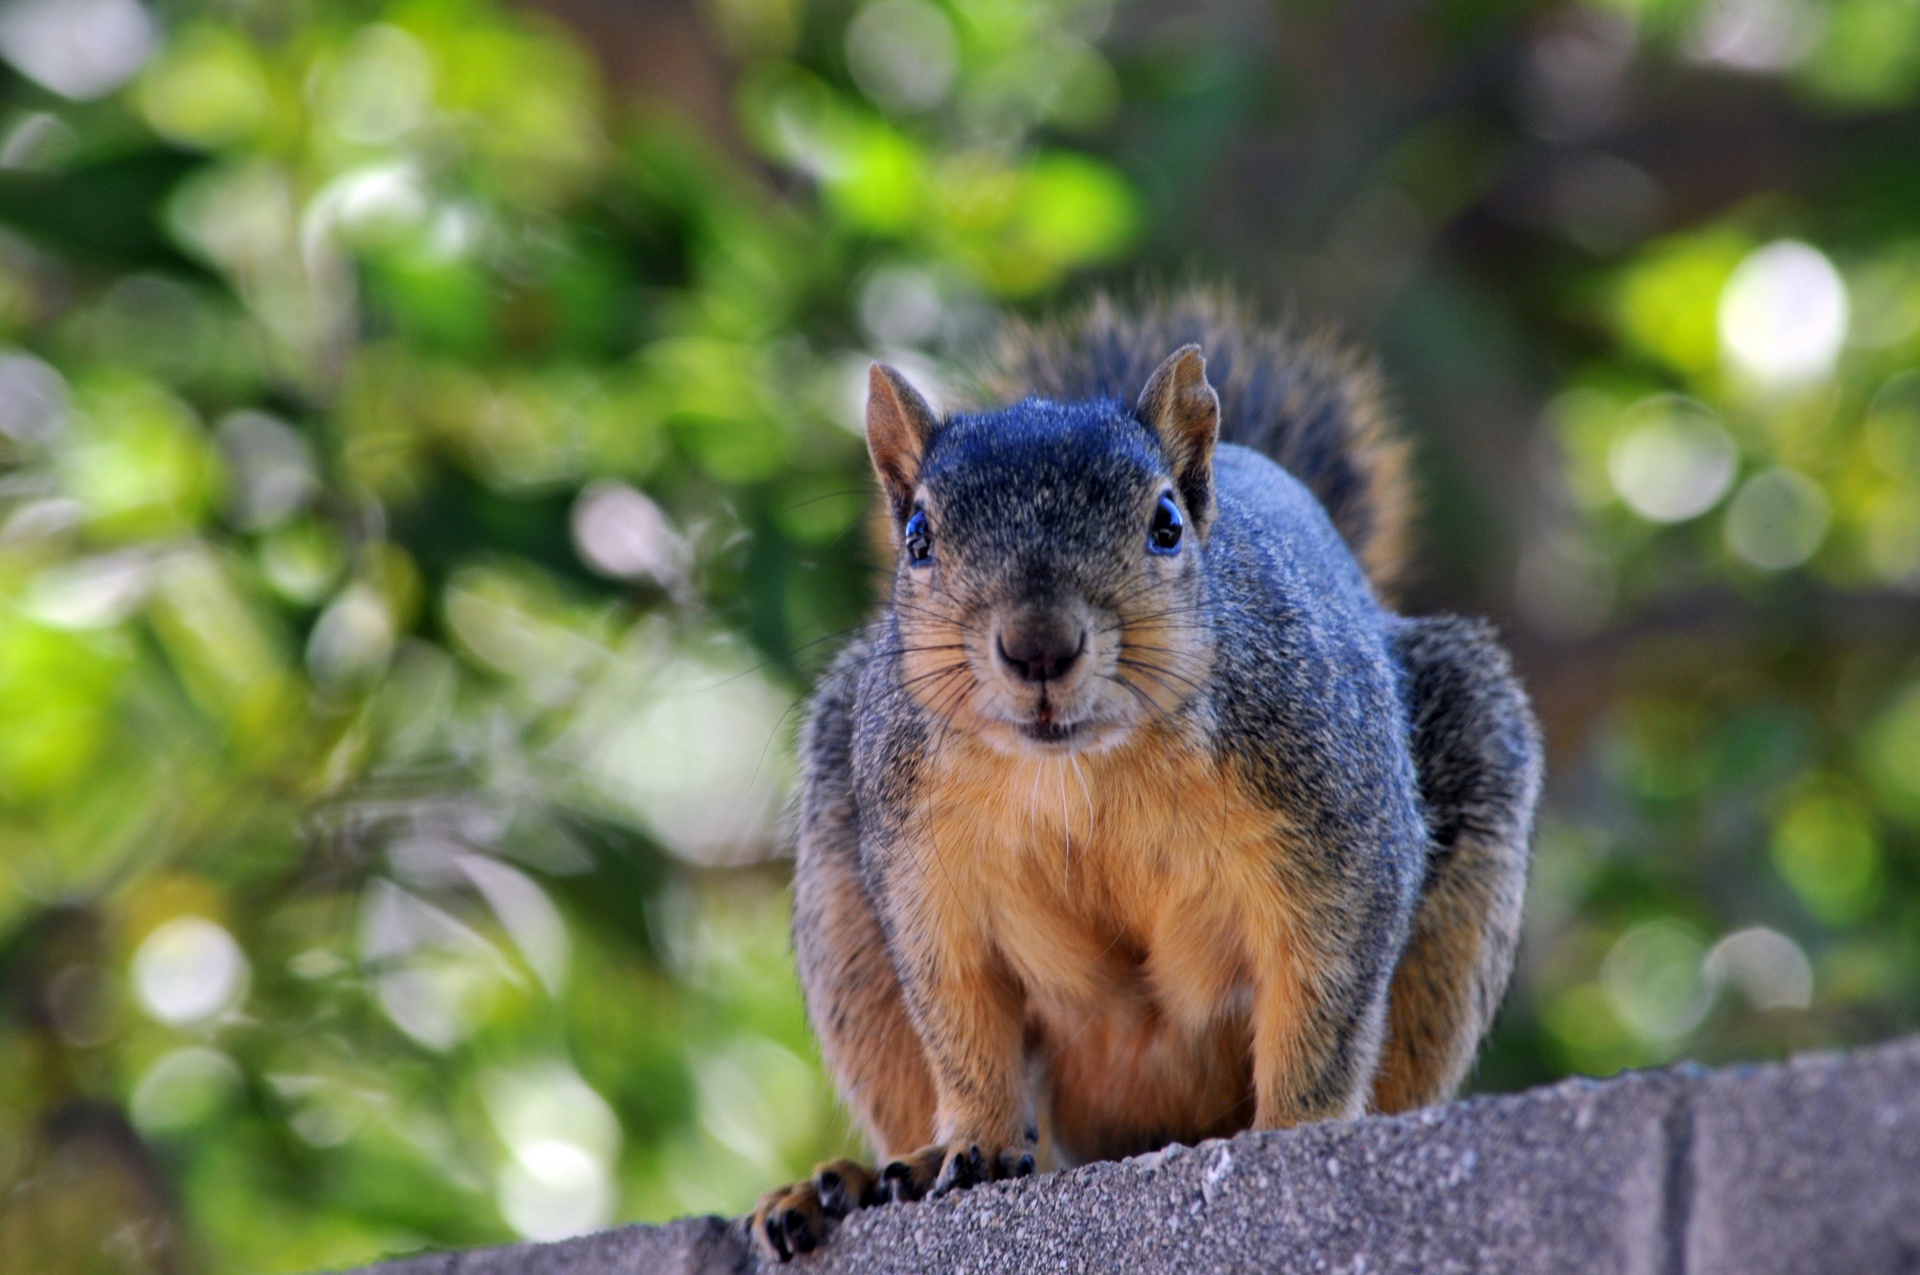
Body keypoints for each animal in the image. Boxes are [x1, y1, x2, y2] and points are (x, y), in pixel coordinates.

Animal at [748, 291, 1543, 1267]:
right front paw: (974, 1141)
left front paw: (1298, 1129)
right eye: (917, 538)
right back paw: (865, 1176)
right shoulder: (921, 866)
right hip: (844, 893)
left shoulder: (1339, 830)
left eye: (1165, 524)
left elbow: (1322, 991)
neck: (1083, 769)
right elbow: (960, 1017)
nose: (1039, 646)